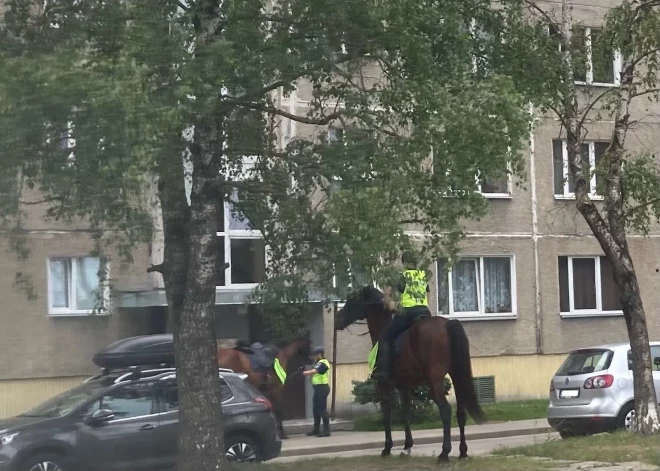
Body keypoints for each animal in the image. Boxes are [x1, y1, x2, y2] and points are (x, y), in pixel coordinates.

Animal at [336, 286, 484, 462]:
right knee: (461, 413)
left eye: (352, 300)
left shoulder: (383, 386)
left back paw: (444, 453)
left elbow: (387, 415)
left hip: (435, 380)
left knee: (445, 409)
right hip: (456, 377)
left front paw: (387, 448)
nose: (338, 321)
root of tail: (448, 323)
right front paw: (407, 446)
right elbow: (406, 413)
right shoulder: (404, 387)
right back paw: (462, 452)